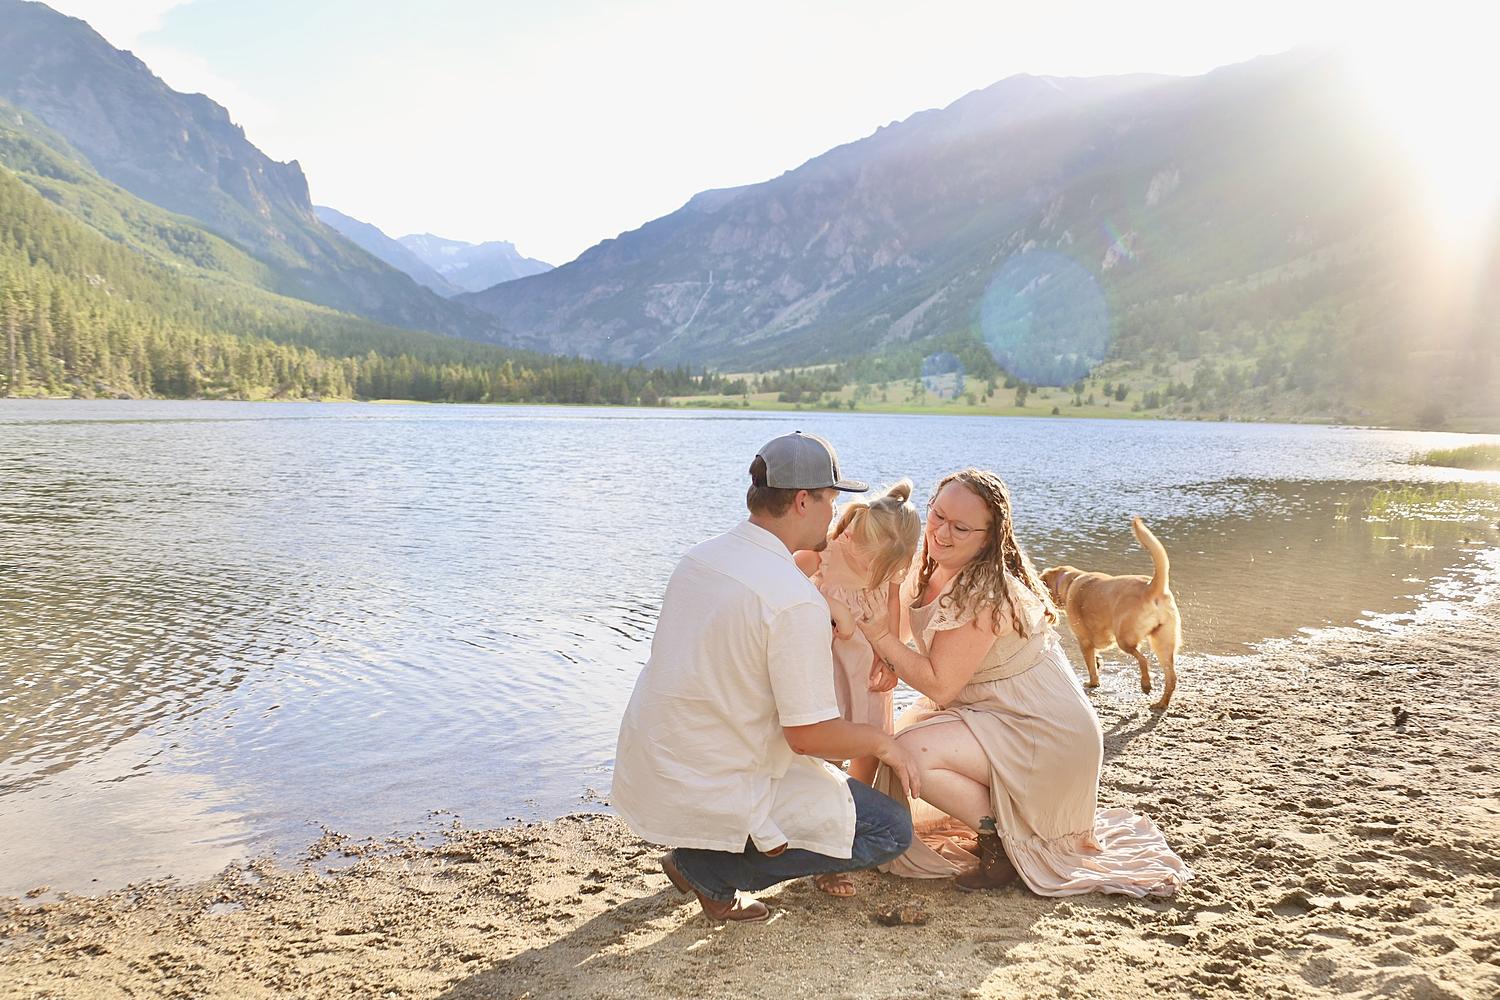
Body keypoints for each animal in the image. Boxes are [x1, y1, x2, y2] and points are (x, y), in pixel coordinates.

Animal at [1041, 517, 1180, 710]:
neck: (1070, 581)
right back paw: (1161, 703)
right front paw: (1099, 662)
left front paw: (1093, 683)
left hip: (1124, 638)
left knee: (1143, 659)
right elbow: (1096, 659)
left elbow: (1091, 666)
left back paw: (1146, 684)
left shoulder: (1084, 641)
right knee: (1171, 678)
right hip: (1163, 643)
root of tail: (1151, 586)